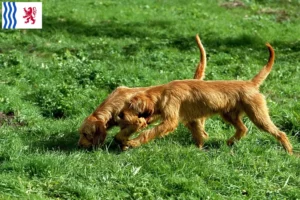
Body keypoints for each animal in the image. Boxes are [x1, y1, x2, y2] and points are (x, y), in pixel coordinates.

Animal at [78, 34, 207, 148]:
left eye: (86, 134)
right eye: (81, 133)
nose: (79, 145)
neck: (113, 105)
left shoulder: (136, 121)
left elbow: (121, 134)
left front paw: (126, 143)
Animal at [125, 43, 292, 155]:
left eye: (130, 106)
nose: (121, 115)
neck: (164, 92)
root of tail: (250, 84)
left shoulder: (170, 120)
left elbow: (150, 132)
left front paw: (133, 142)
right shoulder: (192, 119)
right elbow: (199, 133)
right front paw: (199, 148)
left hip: (258, 115)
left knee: (279, 133)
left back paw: (289, 150)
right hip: (229, 115)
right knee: (242, 128)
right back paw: (230, 142)